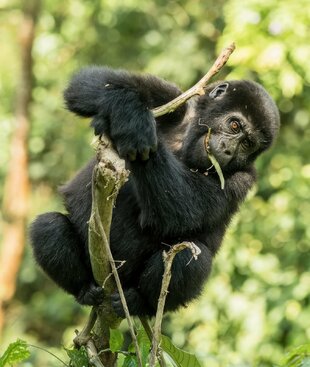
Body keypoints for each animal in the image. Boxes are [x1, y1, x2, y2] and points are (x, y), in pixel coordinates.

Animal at [29, 67, 280, 320]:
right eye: (235, 126)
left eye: (248, 144)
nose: (228, 150)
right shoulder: (174, 97)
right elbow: (92, 84)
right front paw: (132, 120)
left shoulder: (244, 177)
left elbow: (181, 210)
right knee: (48, 226)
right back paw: (85, 290)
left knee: (190, 258)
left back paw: (139, 302)